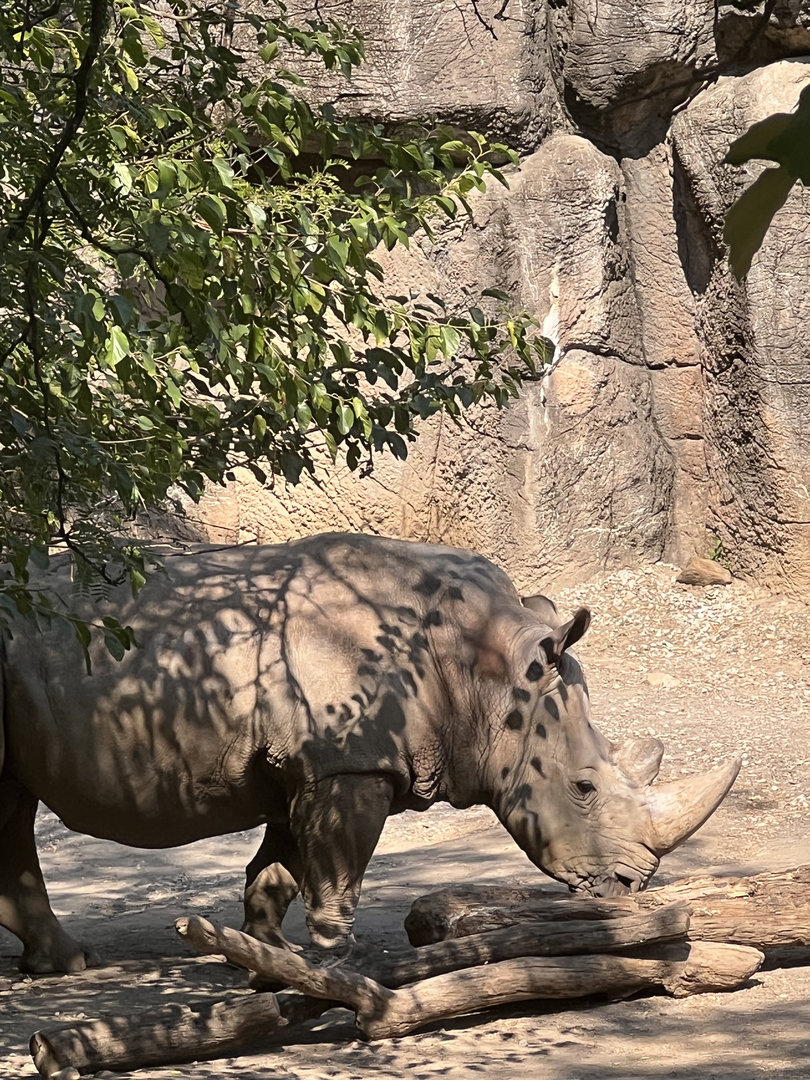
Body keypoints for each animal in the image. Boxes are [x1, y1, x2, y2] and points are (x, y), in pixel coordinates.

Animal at [0, 533, 739, 974]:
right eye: (583, 788)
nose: (629, 888)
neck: (488, 674)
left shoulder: (311, 763)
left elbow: (279, 870)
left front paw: (265, 958)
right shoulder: (349, 763)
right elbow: (336, 873)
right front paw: (339, 971)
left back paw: (61, 964)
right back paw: (71, 965)